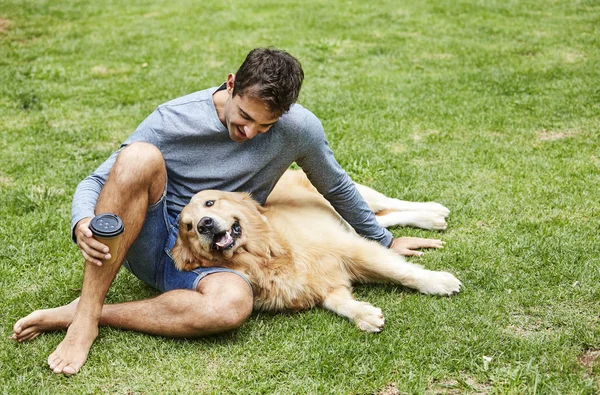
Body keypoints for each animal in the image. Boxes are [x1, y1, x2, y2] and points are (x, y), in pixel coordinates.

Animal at [171, 169, 462, 332]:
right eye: (188, 227)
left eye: (210, 203)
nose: (204, 224)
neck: (267, 256)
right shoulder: (321, 284)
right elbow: (338, 303)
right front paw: (364, 315)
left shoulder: (352, 249)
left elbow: (402, 272)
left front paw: (438, 282)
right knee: (381, 219)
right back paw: (431, 218)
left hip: (345, 194)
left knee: (386, 205)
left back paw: (433, 210)